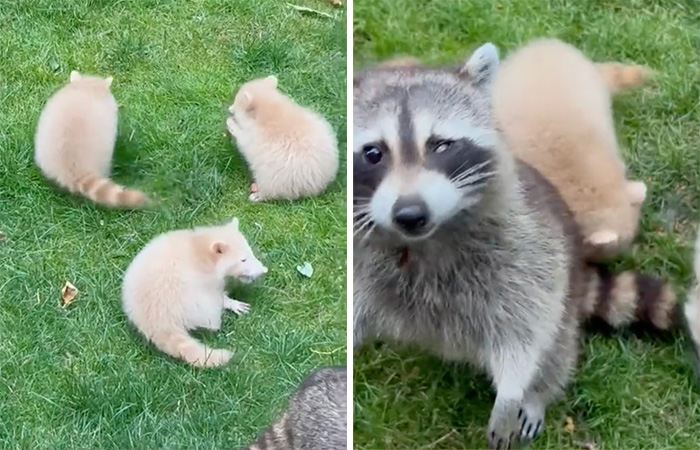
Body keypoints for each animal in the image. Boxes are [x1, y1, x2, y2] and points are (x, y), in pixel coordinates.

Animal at [353, 43, 682, 449]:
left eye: (442, 145)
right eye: (373, 153)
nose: (410, 214)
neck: (426, 241)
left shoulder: (528, 254)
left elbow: (526, 333)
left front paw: (514, 393)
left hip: (561, 287)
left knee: (556, 348)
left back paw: (538, 394)